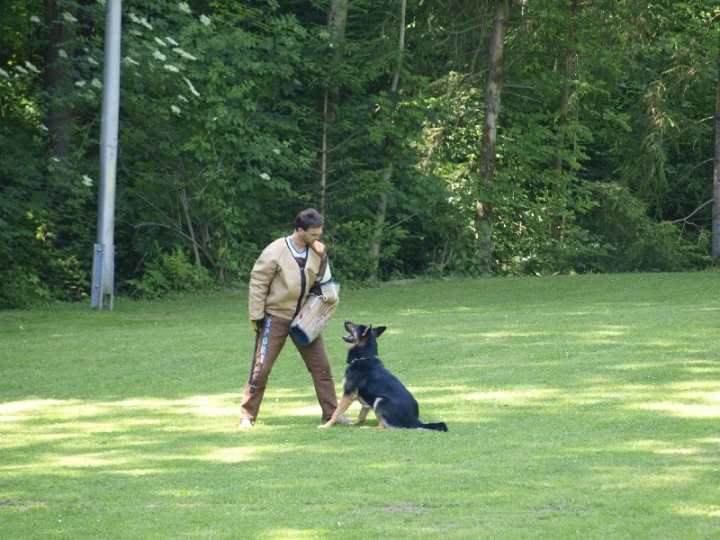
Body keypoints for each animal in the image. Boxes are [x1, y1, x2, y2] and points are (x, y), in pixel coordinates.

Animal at [320, 320, 448, 430]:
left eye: (356, 326)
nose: (345, 320)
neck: (363, 357)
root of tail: (414, 420)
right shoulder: (366, 401)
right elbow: (361, 414)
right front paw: (354, 422)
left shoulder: (348, 394)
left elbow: (336, 412)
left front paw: (327, 425)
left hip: (379, 401)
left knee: (383, 427)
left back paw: (368, 428)